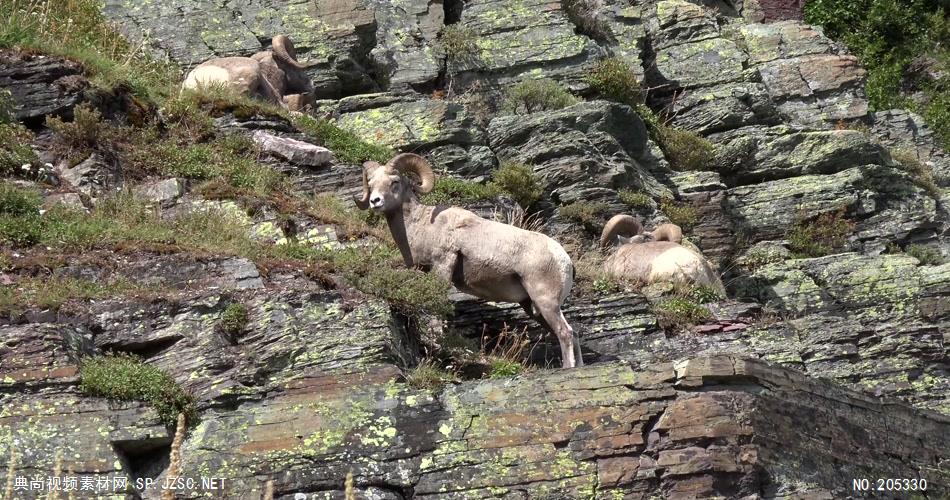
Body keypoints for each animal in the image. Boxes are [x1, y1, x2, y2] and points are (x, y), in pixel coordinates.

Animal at [356, 152, 584, 368]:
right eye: (371, 184)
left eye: (394, 182)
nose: (375, 201)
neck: (421, 225)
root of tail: (565, 261)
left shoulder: (442, 265)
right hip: (532, 306)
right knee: (572, 333)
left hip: (545, 301)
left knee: (565, 332)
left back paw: (567, 368)